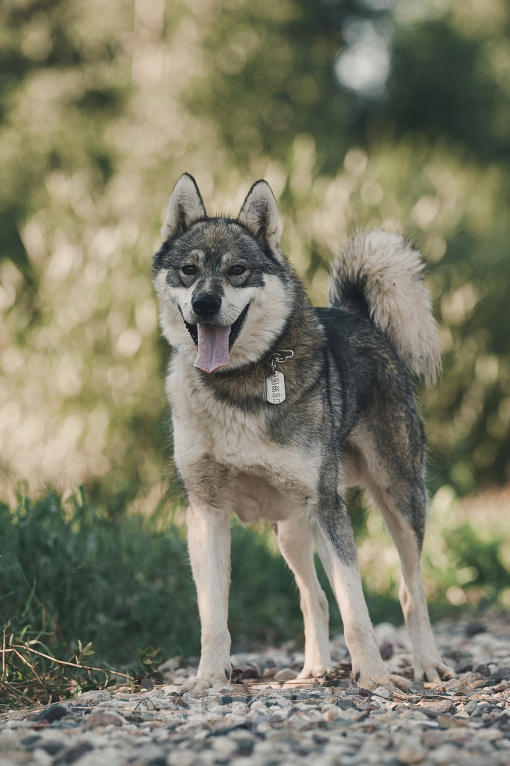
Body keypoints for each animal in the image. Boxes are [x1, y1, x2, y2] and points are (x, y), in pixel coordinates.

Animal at [153, 173, 453, 694]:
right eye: (188, 271)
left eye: (237, 271)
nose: (205, 304)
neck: (239, 385)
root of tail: (356, 314)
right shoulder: (206, 513)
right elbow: (213, 614)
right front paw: (209, 679)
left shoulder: (328, 508)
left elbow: (357, 607)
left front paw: (375, 676)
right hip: (292, 531)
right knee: (315, 598)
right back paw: (313, 670)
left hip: (399, 501)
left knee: (409, 589)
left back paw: (426, 664)